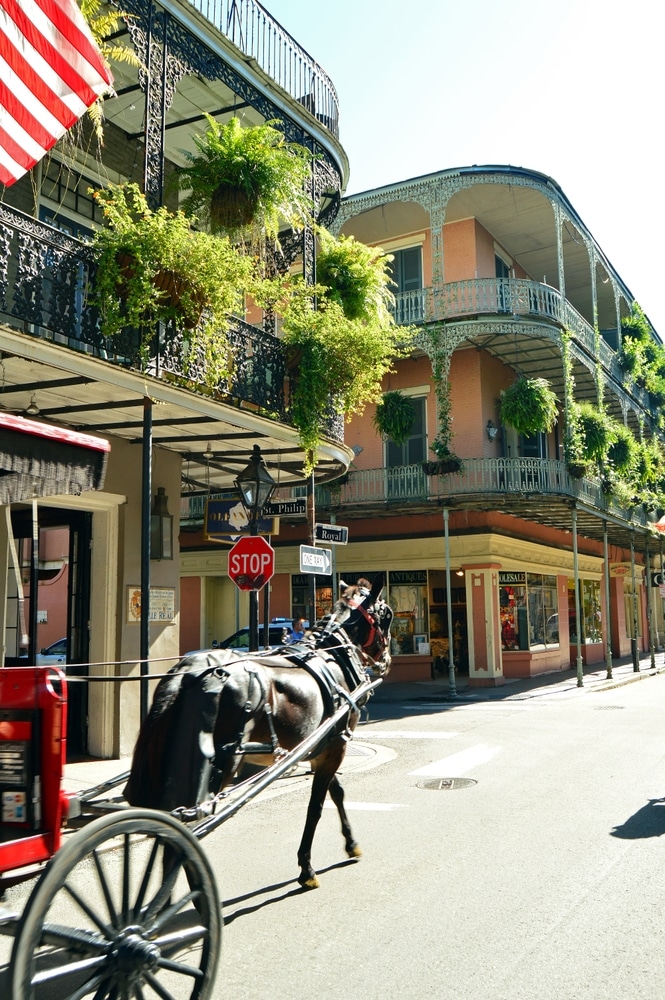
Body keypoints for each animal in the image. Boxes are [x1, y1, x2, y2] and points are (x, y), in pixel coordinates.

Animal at [127, 576, 392, 888]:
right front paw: (307, 868)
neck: (333, 655)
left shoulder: (320, 747)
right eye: (387, 614)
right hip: (221, 767)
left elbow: (336, 792)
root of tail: (187, 672)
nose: (387, 659)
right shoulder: (335, 746)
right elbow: (316, 806)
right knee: (185, 836)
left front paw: (351, 844)